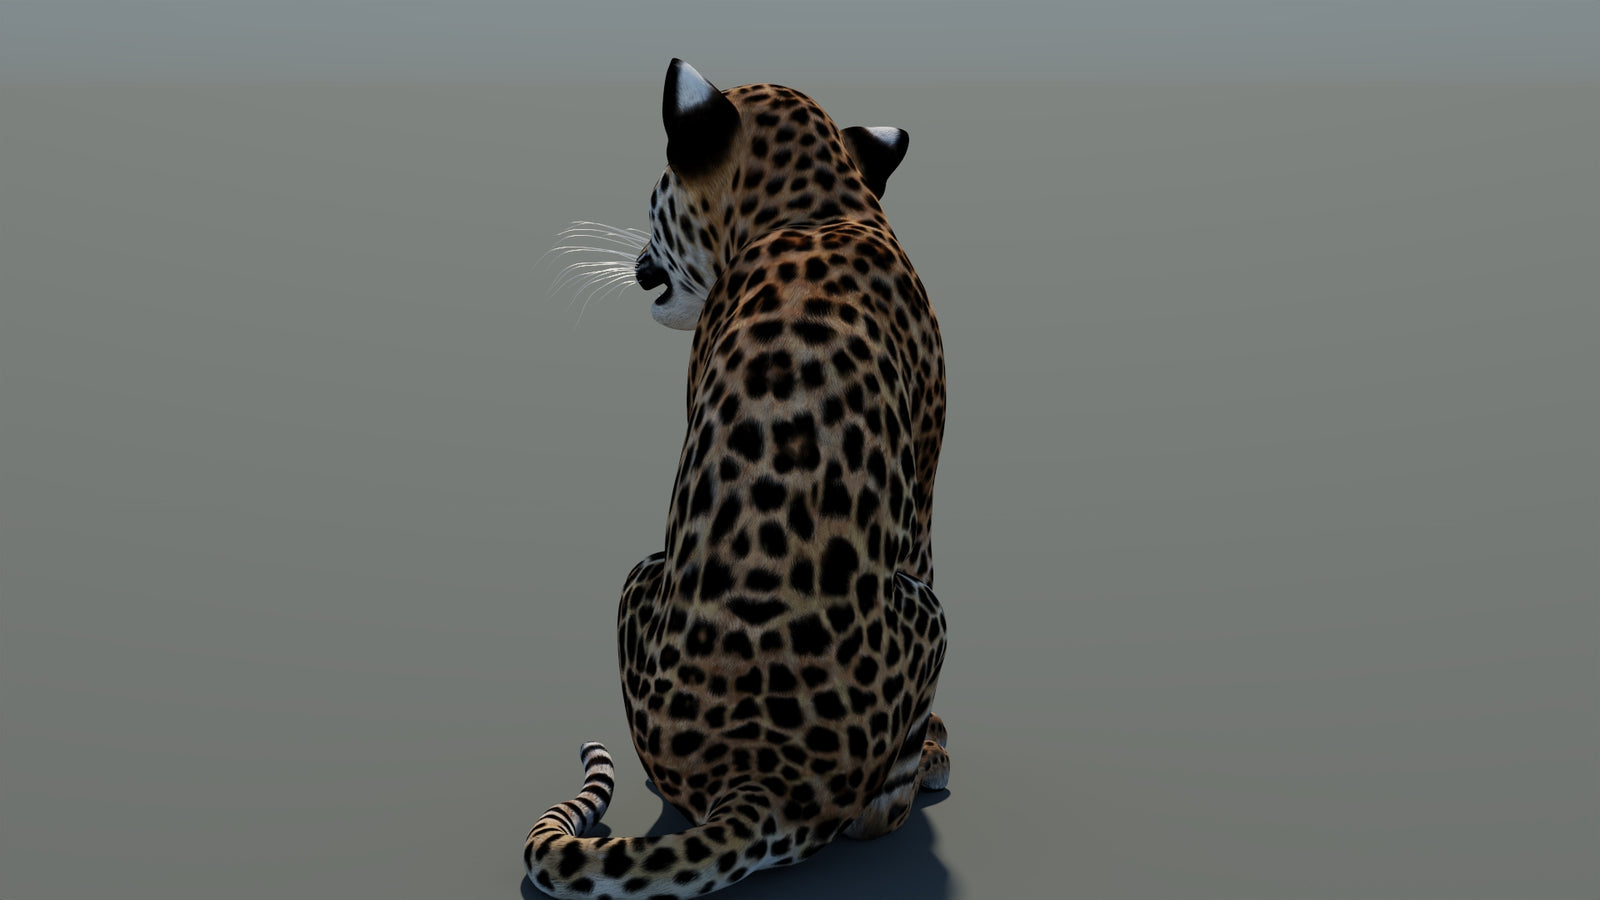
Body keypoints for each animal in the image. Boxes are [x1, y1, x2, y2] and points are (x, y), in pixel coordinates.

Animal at [524, 59, 950, 899]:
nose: (640, 263)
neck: (821, 205)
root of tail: (759, 776)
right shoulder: (920, 495)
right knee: (874, 817)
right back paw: (921, 772)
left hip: (642, 575)